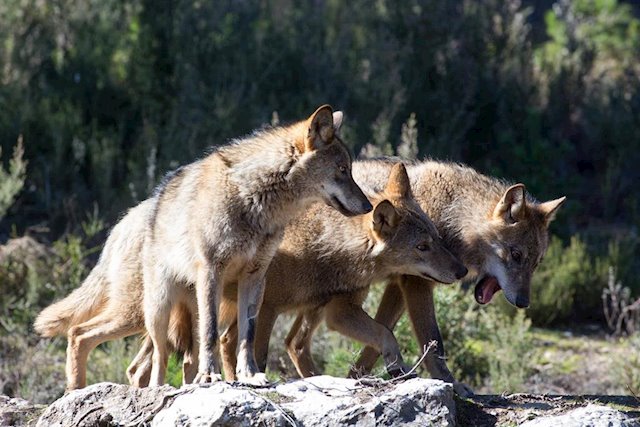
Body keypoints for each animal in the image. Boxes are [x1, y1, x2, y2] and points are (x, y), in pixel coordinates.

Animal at [35, 105, 372, 390]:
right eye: (343, 169)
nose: (369, 206)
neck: (255, 200)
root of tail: (124, 222)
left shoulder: (255, 278)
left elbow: (247, 336)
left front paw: (250, 375)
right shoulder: (212, 271)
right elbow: (211, 333)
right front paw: (209, 377)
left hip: (175, 312)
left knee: (160, 359)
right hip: (151, 311)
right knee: (94, 339)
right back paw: (93, 391)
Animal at [129, 162, 464, 386]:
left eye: (437, 239)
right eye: (422, 247)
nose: (461, 270)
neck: (323, 245)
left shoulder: (334, 311)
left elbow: (382, 332)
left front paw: (395, 368)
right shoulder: (269, 310)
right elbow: (261, 356)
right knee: (151, 362)